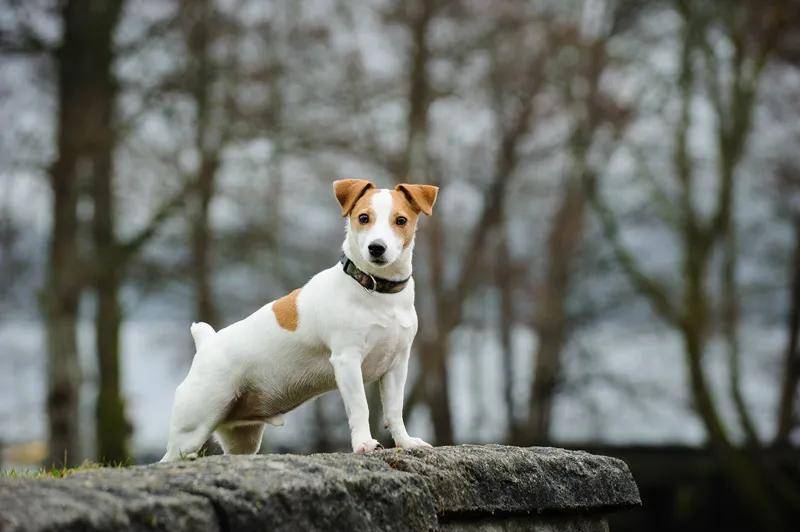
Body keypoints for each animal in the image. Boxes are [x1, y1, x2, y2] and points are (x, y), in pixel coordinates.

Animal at [161, 180, 438, 462]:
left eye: (401, 220)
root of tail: (206, 343)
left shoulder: (396, 364)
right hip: (193, 428)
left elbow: (394, 410)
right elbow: (360, 406)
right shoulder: (347, 360)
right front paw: (364, 443)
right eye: (363, 218)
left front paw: (406, 442)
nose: (376, 247)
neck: (376, 291)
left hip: (242, 439)